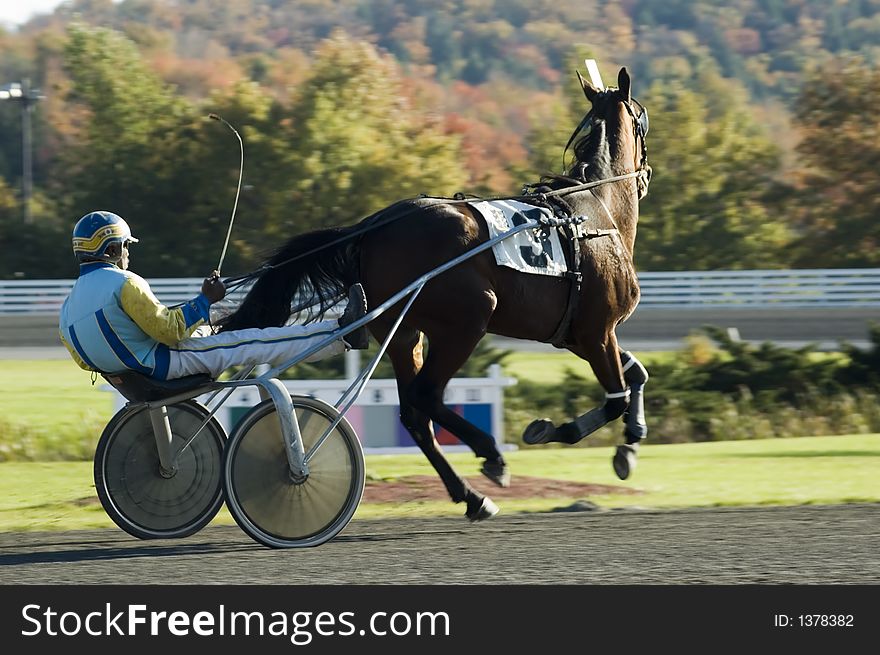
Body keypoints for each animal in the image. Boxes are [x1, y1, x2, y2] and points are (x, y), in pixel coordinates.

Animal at [217, 68, 648, 524]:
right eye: (642, 120)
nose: (645, 176)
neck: (595, 211)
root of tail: (373, 227)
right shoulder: (597, 331)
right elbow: (616, 397)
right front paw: (557, 429)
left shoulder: (576, 335)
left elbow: (636, 375)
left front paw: (631, 442)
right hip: (467, 320)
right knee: (426, 395)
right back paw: (491, 455)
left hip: (404, 332)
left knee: (414, 415)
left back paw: (472, 496)